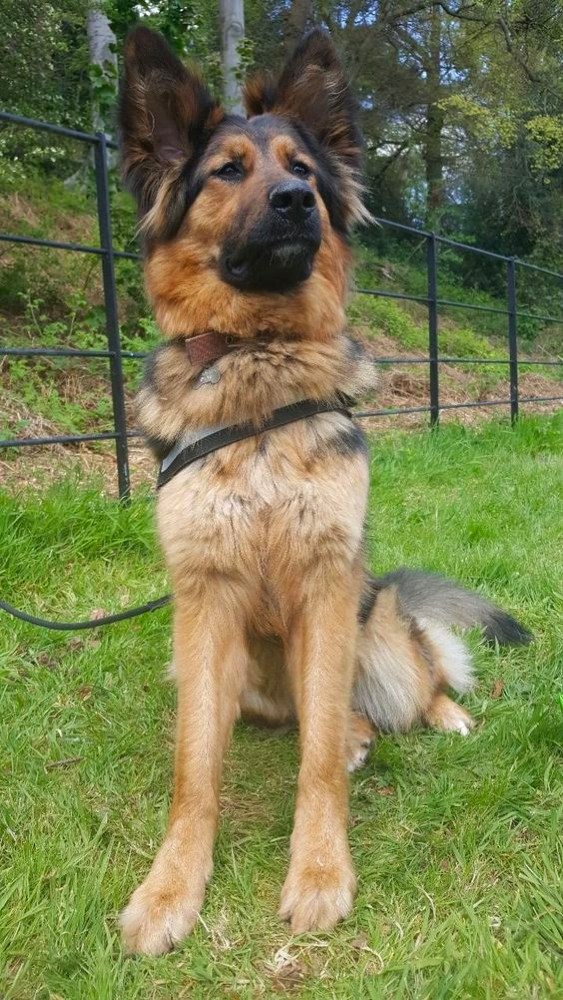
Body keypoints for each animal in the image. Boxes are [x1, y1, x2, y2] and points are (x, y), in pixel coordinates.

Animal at [119, 27, 532, 956]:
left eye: (302, 169)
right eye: (225, 171)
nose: (294, 202)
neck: (258, 361)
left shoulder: (325, 583)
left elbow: (313, 768)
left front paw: (318, 874)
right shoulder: (203, 604)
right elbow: (194, 769)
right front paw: (170, 888)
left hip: (370, 627)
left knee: (410, 683)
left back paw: (430, 716)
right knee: (324, 718)